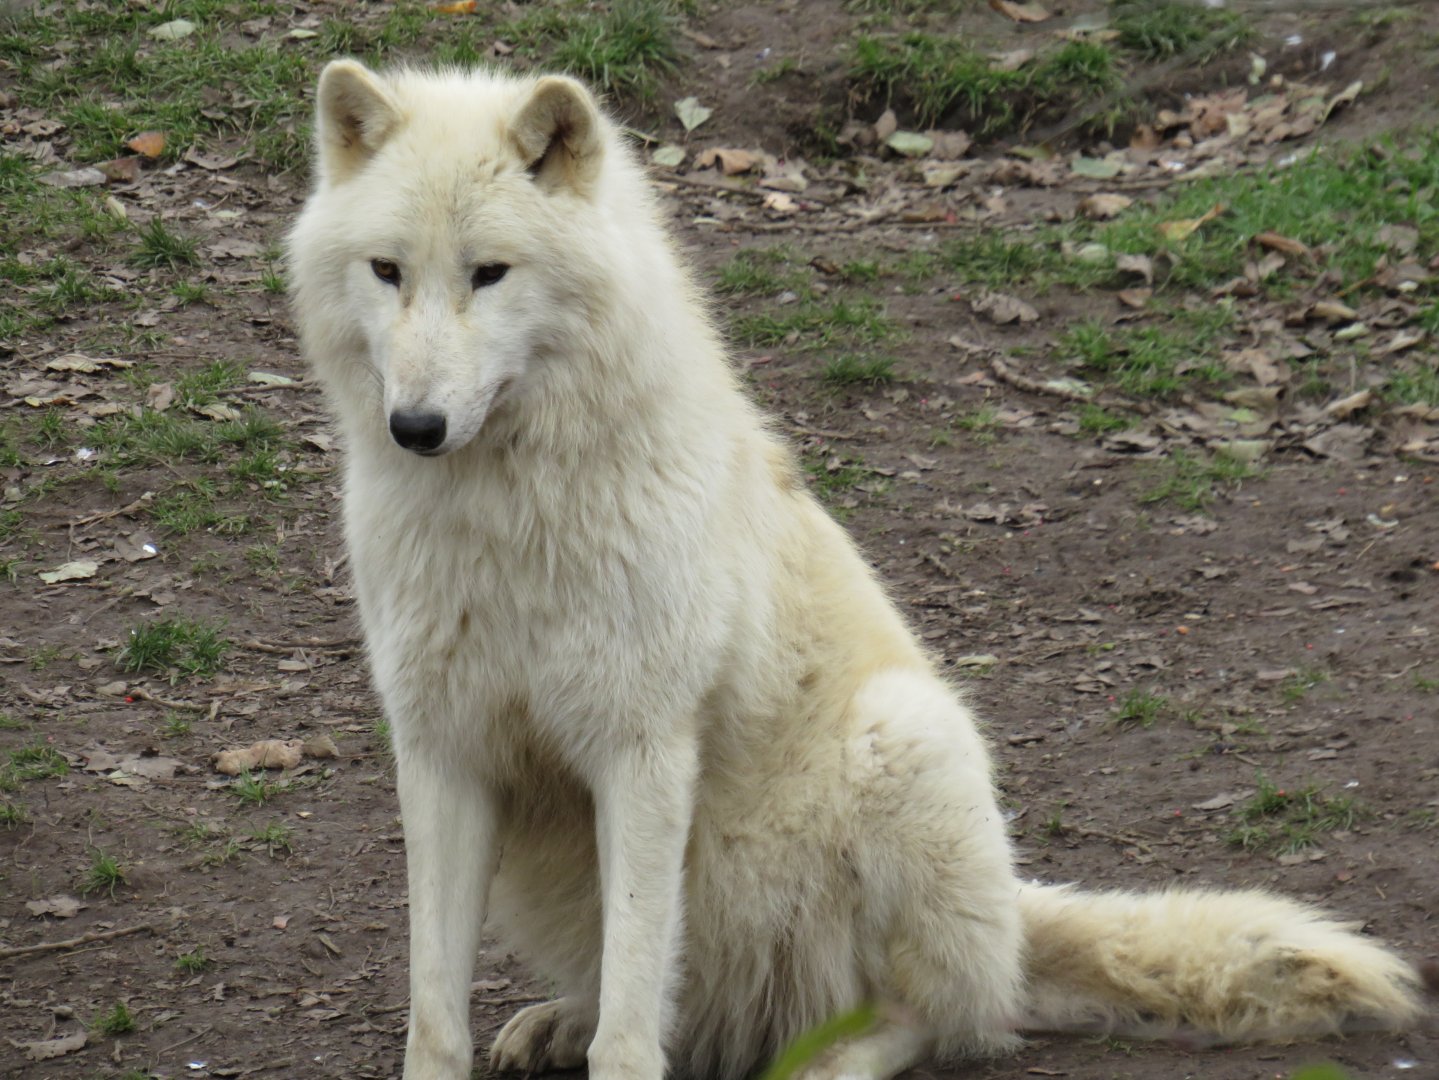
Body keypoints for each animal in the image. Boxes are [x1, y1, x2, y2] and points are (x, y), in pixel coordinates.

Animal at [287, 60, 1423, 1080]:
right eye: (389, 271)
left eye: (488, 273)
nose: (416, 426)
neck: (503, 516)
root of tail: (1010, 925)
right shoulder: (441, 752)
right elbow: (439, 1019)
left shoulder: (642, 749)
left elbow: (631, 1029)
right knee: (671, 1000)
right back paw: (560, 1023)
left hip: (904, 742)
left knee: (929, 1019)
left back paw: (823, 1061)